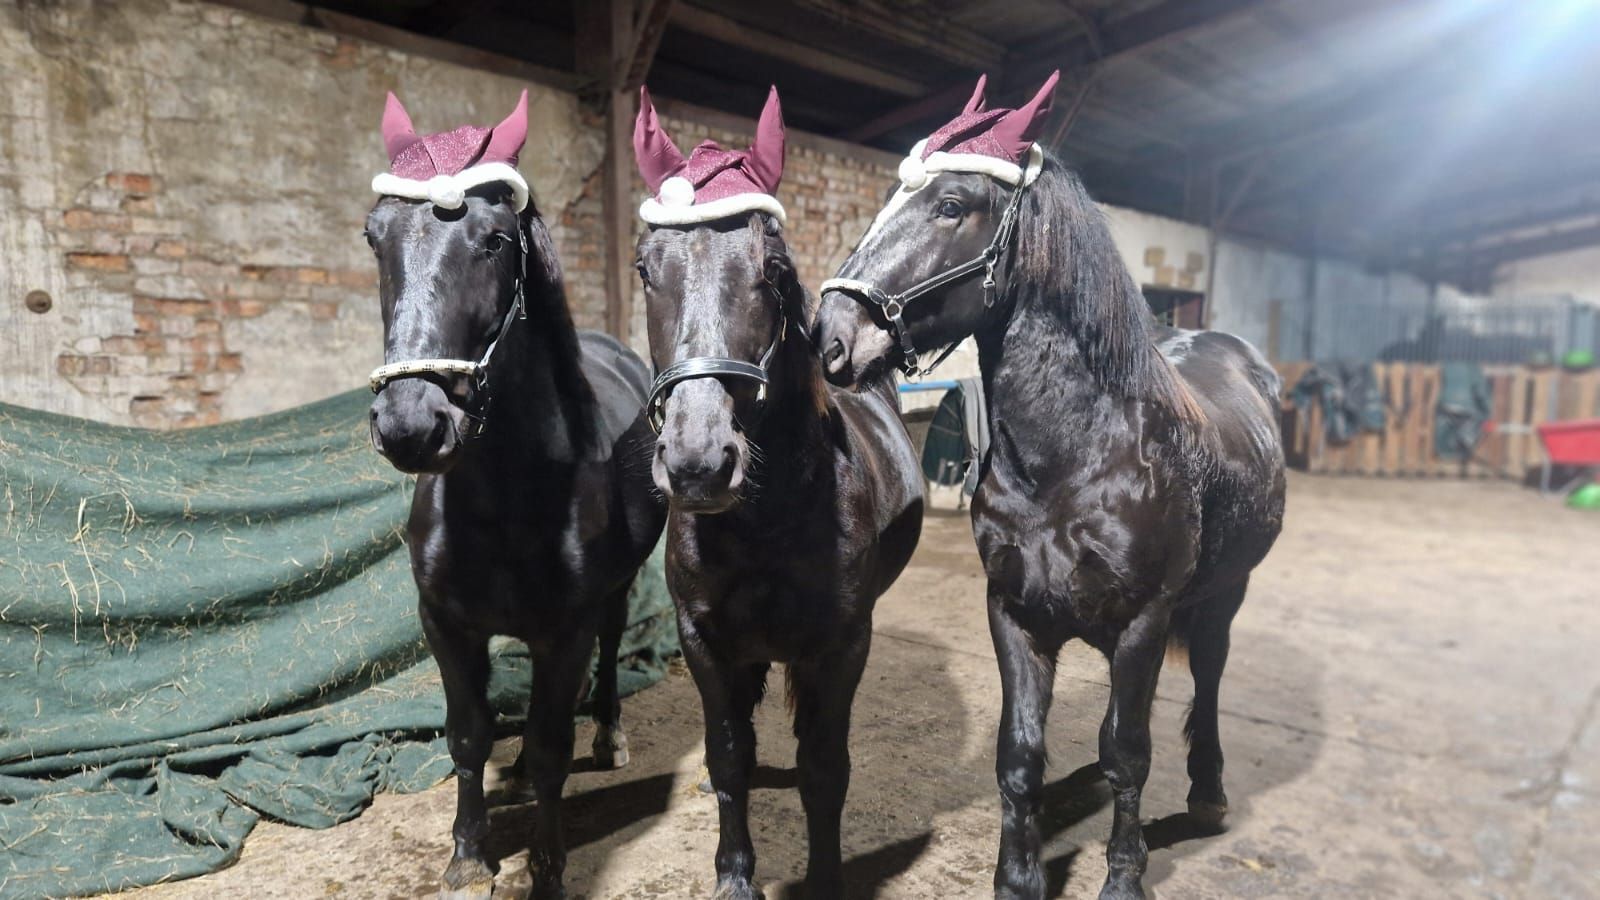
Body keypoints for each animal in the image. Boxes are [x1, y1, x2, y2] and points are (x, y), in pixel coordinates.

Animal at [363, 91, 665, 900]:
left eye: (495, 239)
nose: (411, 424)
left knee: (608, 653)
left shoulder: (568, 628)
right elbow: (469, 734)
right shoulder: (445, 624)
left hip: (614, 595)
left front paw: (547, 867)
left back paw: (610, 733)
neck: (505, 493)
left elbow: (556, 741)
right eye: (375, 238)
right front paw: (469, 856)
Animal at [632, 87, 924, 898]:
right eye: (645, 267)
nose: (699, 462)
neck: (766, 522)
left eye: (772, 266)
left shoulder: (842, 645)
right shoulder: (704, 641)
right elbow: (728, 754)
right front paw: (735, 874)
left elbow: (824, 770)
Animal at [813, 73, 1286, 900]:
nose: (832, 335)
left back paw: (1208, 791)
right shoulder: (1015, 613)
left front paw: (1124, 877)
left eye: (951, 204)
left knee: (1208, 681)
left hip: (1223, 594)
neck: (1076, 459)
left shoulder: (1143, 621)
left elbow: (1130, 753)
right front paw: (1018, 877)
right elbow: (1021, 752)